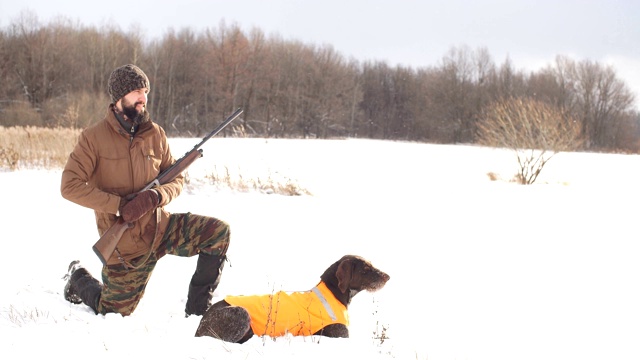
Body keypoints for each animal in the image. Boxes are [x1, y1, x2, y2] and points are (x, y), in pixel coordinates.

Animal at [195, 253, 388, 344]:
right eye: (366, 269)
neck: (333, 293)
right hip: (241, 313)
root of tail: (201, 323)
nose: (388, 276)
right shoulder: (340, 336)